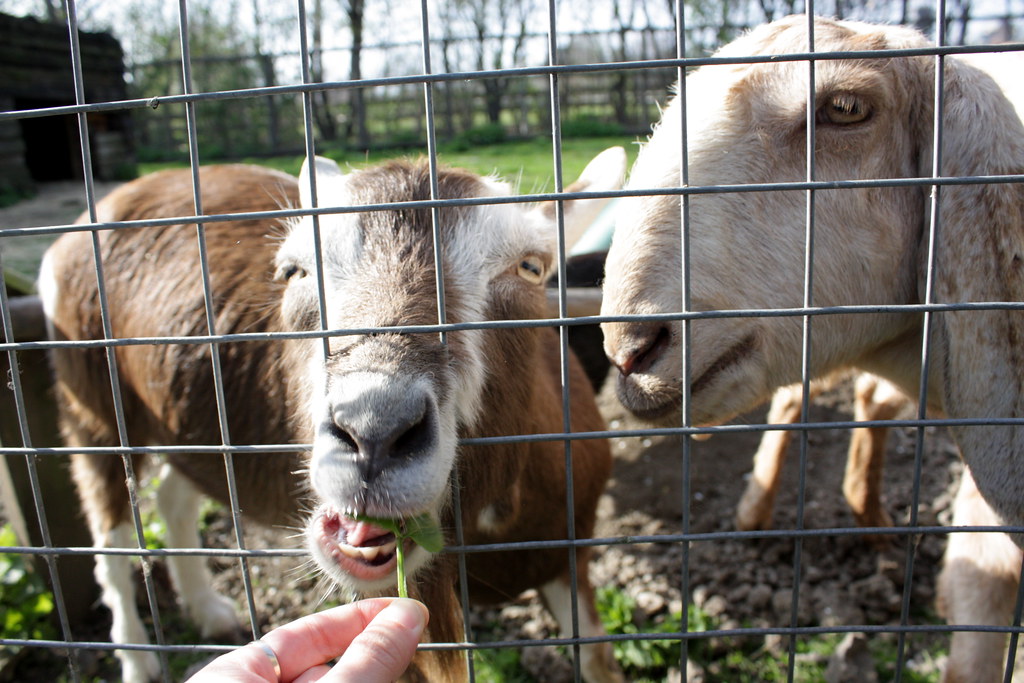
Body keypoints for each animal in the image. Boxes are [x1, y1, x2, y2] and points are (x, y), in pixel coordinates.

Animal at [39, 150, 622, 683]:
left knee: (173, 498)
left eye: (531, 267)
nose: (373, 429)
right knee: (111, 534)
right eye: (293, 271)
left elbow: (598, 660)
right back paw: (138, 659)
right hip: (92, 408)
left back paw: (209, 613)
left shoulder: (567, 553)